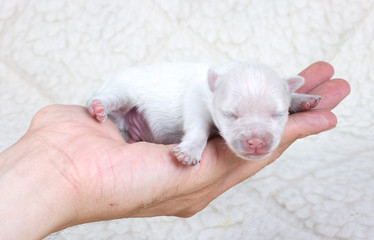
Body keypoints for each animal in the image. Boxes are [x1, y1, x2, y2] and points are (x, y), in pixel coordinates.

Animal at [87, 62, 322, 165]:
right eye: (230, 115)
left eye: (277, 114)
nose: (256, 142)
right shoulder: (196, 103)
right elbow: (197, 130)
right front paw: (189, 152)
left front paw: (303, 99)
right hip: (122, 90)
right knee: (110, 98)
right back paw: (99, 107)